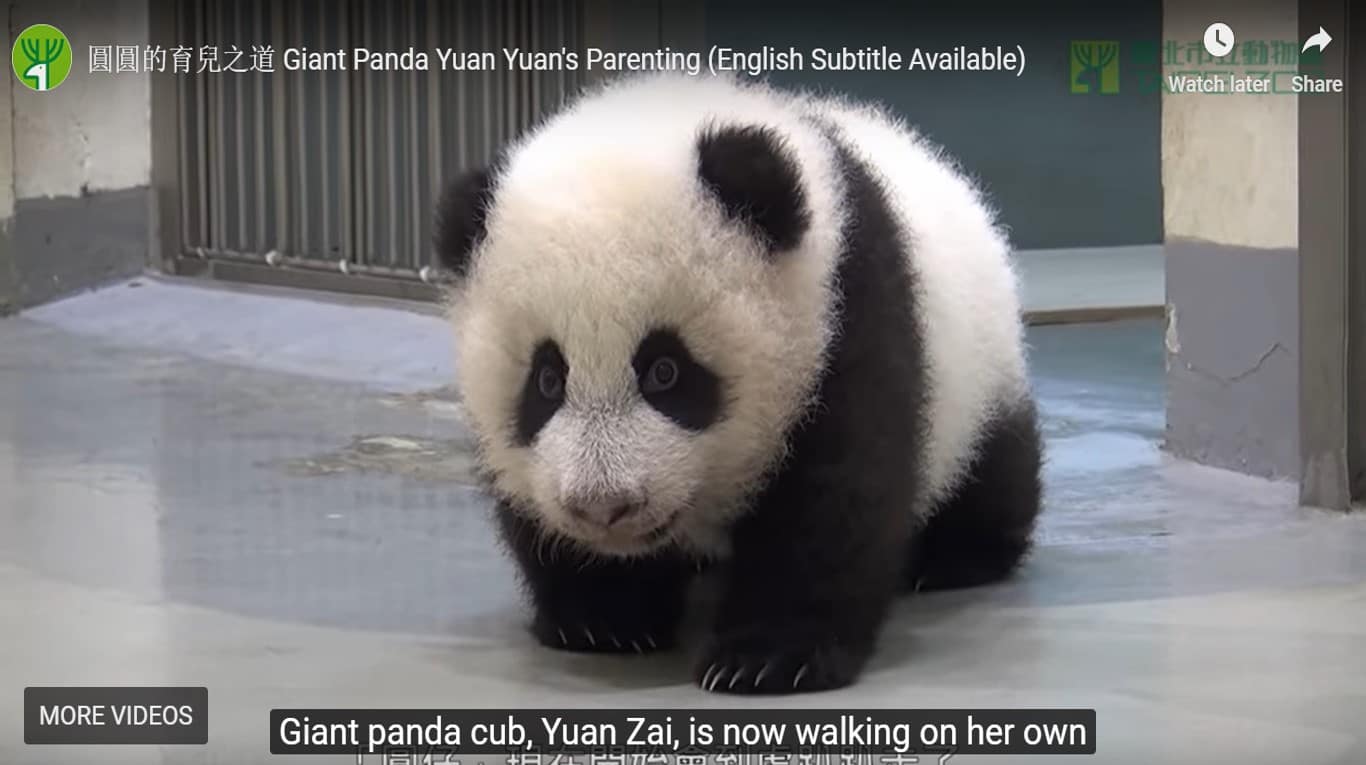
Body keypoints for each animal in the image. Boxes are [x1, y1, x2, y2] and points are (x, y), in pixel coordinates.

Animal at [435, 73, 1043, 695]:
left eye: (666, 371)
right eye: (548, 380)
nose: (605, 507)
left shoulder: (846, 312)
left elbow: (834, 492)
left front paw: (768, 658)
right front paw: (604, 619)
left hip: (981, 372)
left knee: (995, 466)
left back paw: (956, 558)